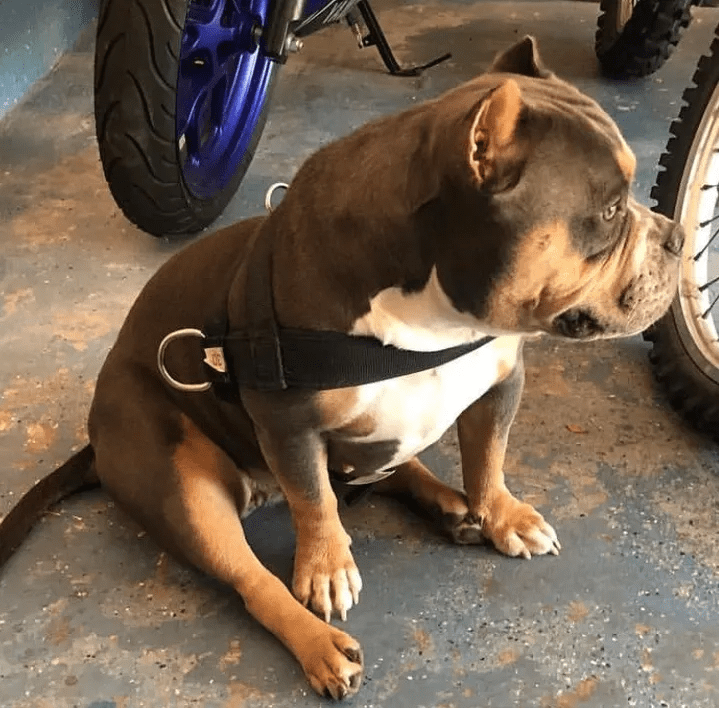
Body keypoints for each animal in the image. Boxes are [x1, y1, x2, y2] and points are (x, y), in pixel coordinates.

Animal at [0, 37, 684, 696]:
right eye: (610, 211)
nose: (677, 237)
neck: (434, 318)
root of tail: (94, 440)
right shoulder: (286, 422)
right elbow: (313, 499)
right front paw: (326, 566)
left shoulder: (501, 382)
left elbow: (488, 457)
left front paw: (500, 513)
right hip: (181, 484)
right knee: (254, 577)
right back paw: (320, 643)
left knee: (385, 469)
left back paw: (450, 506)